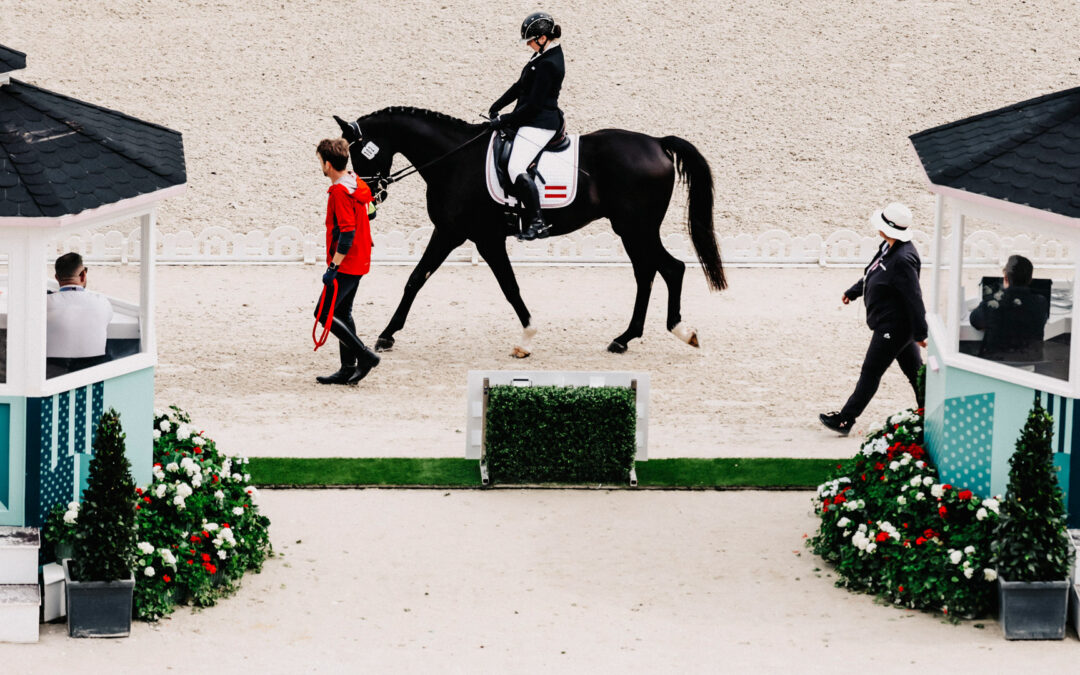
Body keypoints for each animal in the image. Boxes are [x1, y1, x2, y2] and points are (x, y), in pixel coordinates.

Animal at [334, 108, 725, 356]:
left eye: (359, 152)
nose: (370, 195)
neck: (454, 159)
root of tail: (657, 142)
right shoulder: (465, 235)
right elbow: (420, 279)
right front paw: (387, 335)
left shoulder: (467, 235)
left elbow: (502, 286)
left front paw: (526, 339)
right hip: (631, 230)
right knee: (648, 273)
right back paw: (625, 338)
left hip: (636, 228)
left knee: (670, 268)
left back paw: (680, 332)